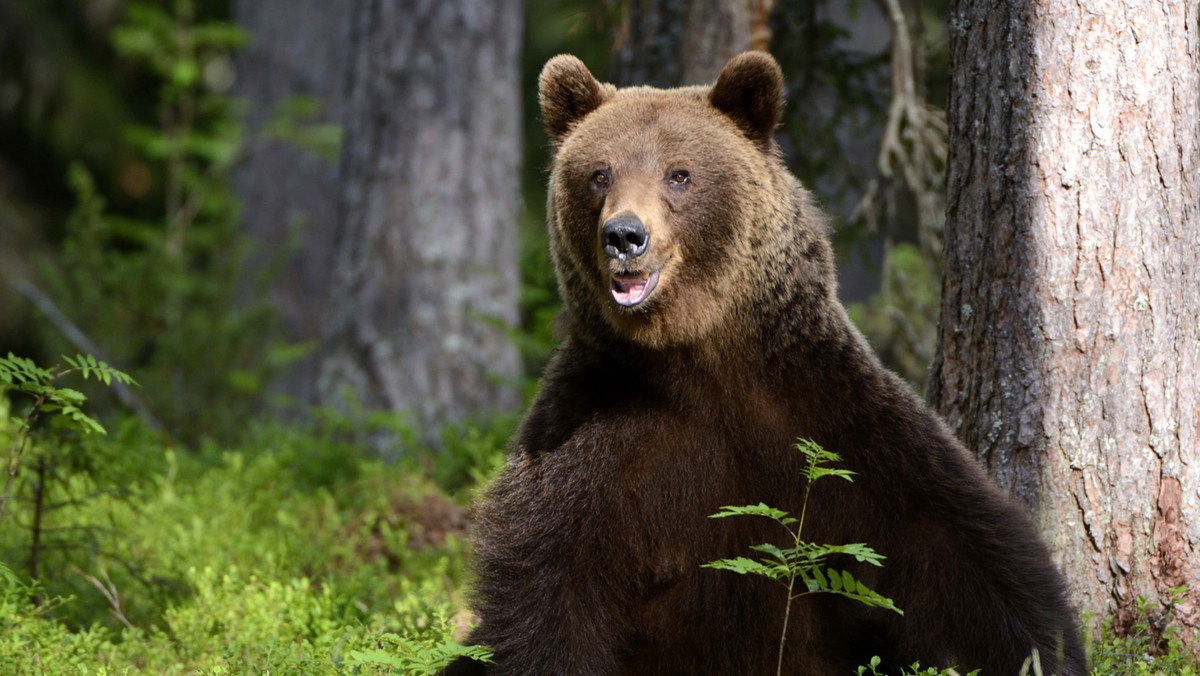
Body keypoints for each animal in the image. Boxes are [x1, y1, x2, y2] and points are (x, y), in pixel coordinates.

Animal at [448, 52, 1089, 676]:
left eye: (679, 173)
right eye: (599, 173)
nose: (624, 235)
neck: (699, 357)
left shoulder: (830, 417)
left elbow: (962, 547)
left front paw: (1047, 651)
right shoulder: (598, 431)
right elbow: (546, 583)